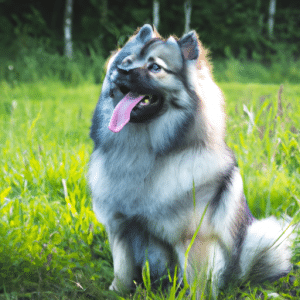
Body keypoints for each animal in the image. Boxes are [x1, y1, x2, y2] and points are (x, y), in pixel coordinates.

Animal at [88, 24, 292, 296]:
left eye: (155, 67)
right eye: (126, 63)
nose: (122, 71)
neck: (142, 151)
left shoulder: (196, 239)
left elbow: (199, 284)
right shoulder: (119, 228)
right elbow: (122, 271)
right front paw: (116, 292)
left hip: (260, 237)